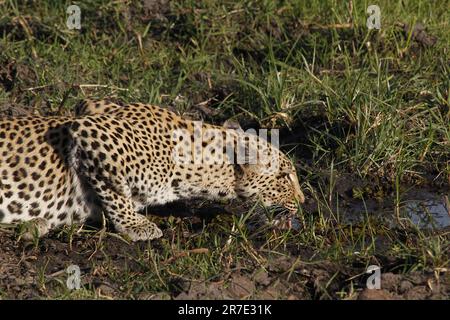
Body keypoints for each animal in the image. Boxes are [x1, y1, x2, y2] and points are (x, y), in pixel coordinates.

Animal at [0, 99, 304, 241]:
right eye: (284, 177)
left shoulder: (90, 106)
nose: (302, 201)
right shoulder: (90, 131)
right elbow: (116, 192)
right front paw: (135, 225)